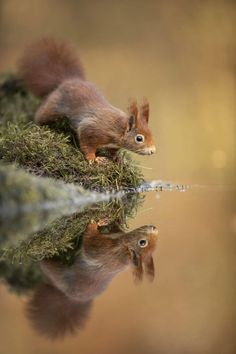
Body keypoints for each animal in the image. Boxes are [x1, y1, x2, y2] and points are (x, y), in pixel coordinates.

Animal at [18, 38, 157, 162]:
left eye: (152, 133)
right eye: (139, 138)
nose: (153, 151)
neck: (118, 129)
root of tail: (68, 80)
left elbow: (113, 151)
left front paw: (117, 159)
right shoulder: (92, 129)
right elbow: (87, 143)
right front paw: (93, 159)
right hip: (54, 106)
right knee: (41, 115)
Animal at [25, 223, 158, 338]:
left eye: (142, 243)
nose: (155, 228)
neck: (124, 249)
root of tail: (74, 299)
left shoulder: (104, 251)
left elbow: (90, 245)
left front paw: (93, 224)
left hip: (58, 274)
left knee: (48, 267)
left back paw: (39, 260)